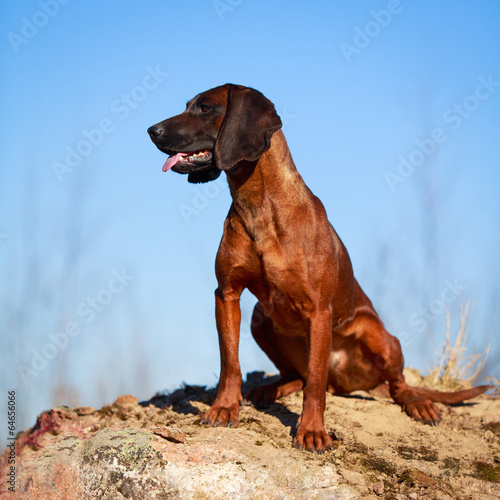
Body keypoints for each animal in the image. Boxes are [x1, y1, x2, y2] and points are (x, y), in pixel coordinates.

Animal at [148, 85, 492, 454]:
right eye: (188, 105)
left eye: (205, 108)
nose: (151, 130)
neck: (258, 204)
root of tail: (343, 380)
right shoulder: (226, 294)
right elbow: (230, 362)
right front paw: (224, 407)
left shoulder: (318, 311)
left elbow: (314, 382)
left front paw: (312, 431)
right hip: (259, 318)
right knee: (296, 375)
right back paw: (269, 389)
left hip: (380, 337)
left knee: (393, 384)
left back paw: (417, 402)